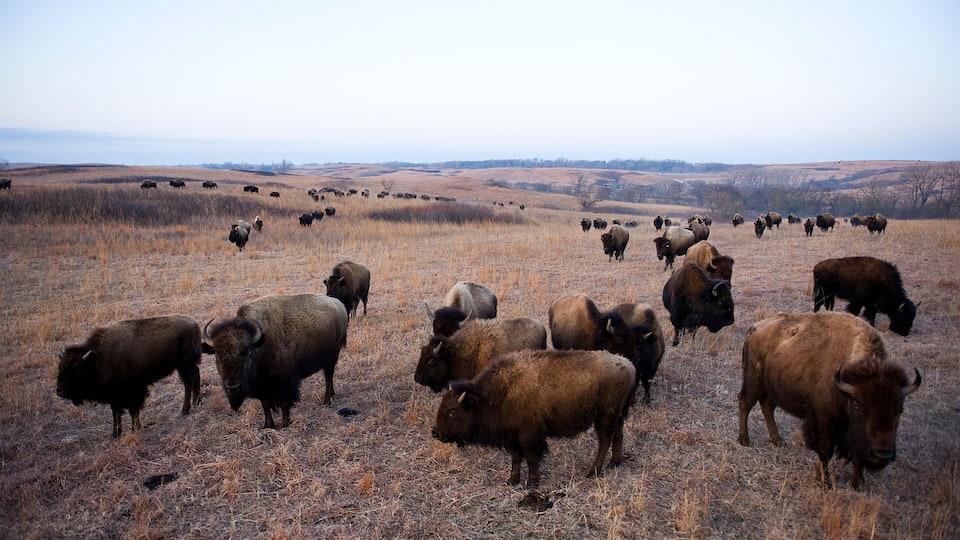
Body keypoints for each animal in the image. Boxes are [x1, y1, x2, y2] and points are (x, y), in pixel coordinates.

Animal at [56, 315, 202, 438]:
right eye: (60, 368)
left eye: (76, 370)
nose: (59, 392)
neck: (98, 358)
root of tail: (194, 324)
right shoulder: (114, 394)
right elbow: (115, 412)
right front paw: (115, 434)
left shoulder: (135, 390)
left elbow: (133, 410)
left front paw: (136, 428)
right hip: (185, 365)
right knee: (195, 375)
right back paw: (196, 402)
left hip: (184, 364)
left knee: (188, 382)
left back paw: (184, 410)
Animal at [201, 294, 348, 429]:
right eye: (217, 355)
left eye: (247, 352)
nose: (232, 387)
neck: (260, 345)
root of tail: (339, 305)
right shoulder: (262, 387)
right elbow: (265, 405)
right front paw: (268, 425)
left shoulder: (285, 383)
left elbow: (284, 404)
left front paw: (284, 425)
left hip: (332, 357)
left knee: (328, 377)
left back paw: (326, 401)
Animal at [432, 349, 635, 485]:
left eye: (453, 411)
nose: (435, 433)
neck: (500, 392)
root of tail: (628, 365)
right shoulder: (512, 437)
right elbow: (516, 458)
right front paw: (512, 480)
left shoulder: (529, 435)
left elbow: (531, 457)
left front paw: (532, 482)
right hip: (616, 415)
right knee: (618, 434)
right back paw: (615, 463)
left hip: (604, 416)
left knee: (604, 440)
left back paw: (592, 471)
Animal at [738, 312, 921, 489]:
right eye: (858, 406)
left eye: (900, 409)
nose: (882, 454)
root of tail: (755, 327)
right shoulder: (824, 421)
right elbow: (825, 452)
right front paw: (825, 483)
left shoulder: (854, 434)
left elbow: (857, 454)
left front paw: (858, 484)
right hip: (754, 381)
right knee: (745, 402)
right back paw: (745, 440)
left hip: (771, 388)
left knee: (767, 407)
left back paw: (778, 441)